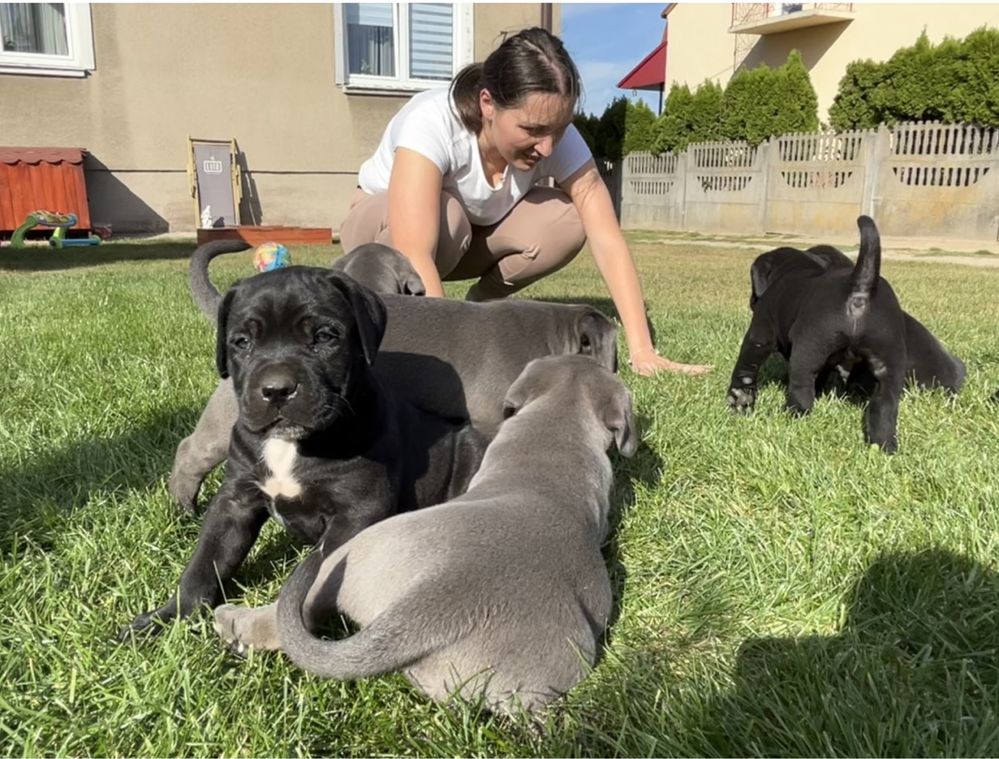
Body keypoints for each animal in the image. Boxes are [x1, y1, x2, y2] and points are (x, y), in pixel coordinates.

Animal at [123, 268, 482, 636]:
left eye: (324, 337)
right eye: (242, 342)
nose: (277, 389)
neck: (290, 446)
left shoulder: (356, 512)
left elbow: (313, 575)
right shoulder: (235, 501)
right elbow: (206, 562)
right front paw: (167, 618)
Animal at [732, 214, 964, 452]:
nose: (751, 301)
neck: (798, 268)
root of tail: (860, 290)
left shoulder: (760, 333)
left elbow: (746, 366)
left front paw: (739, 398)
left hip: (807, 351)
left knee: (801, 390)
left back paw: (791, 417)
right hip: (889, 362)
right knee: (884, 407)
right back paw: (884, 447)